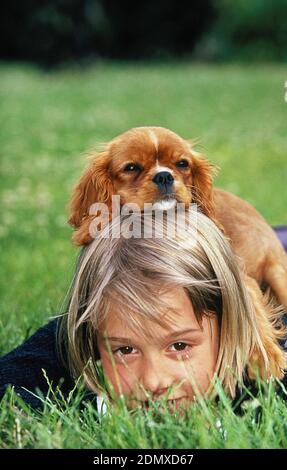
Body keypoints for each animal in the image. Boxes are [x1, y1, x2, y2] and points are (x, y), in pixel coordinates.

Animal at [67, 126, 287, 380]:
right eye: (131, 167)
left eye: (182, 164)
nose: (164, 176)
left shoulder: (239, 278)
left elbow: (250, 310)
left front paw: (265, 358)